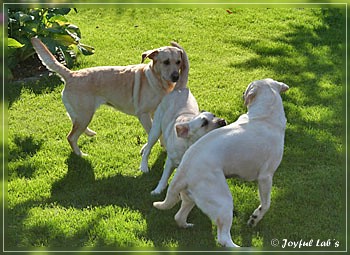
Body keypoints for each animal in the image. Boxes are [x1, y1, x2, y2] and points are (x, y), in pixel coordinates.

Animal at [30, 37, 186, 156]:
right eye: (166, 62)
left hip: (81, 114)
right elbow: (154, 133)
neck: (157, 80)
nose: (176, 77)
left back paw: (89, 134)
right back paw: (81, 155)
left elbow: (159, 133)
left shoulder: (156, 113)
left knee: (74, 124)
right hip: (85, 115)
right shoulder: (143, 114)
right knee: (71, 137)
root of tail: (71, 74)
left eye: (178, 62)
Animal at [154, 78, 288, 247]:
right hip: (223, 202)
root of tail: (183, 170)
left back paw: (187, 225)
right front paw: (254, 218)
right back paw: (241, 248)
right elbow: (266, 204)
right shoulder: (266, 177)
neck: (265, 116)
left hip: (190, 198)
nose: (242, 93)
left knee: (178, 217)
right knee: (223, 239)